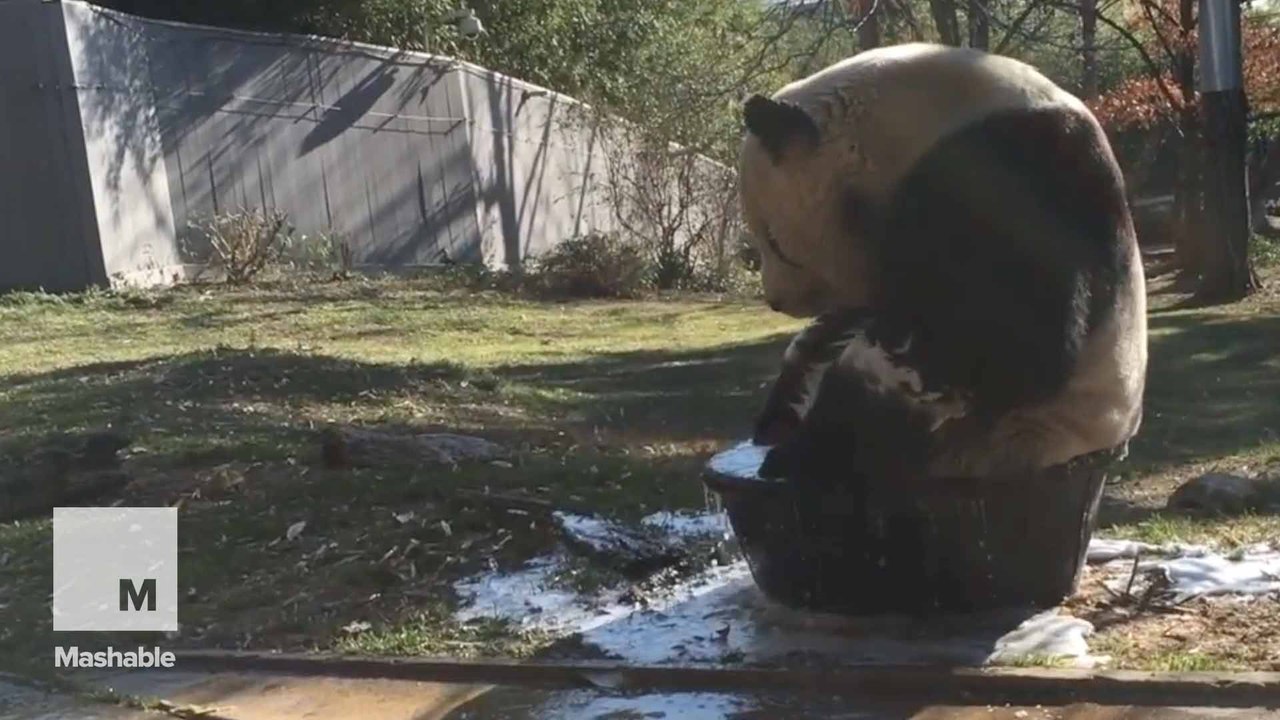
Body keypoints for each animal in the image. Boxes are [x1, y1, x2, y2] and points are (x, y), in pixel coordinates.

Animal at [740, 43, 1148, 481]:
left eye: (775, 243)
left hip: (1022, 427)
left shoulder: (1010, 174)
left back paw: (803, 451)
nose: (776, 301)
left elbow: (1017, 333)